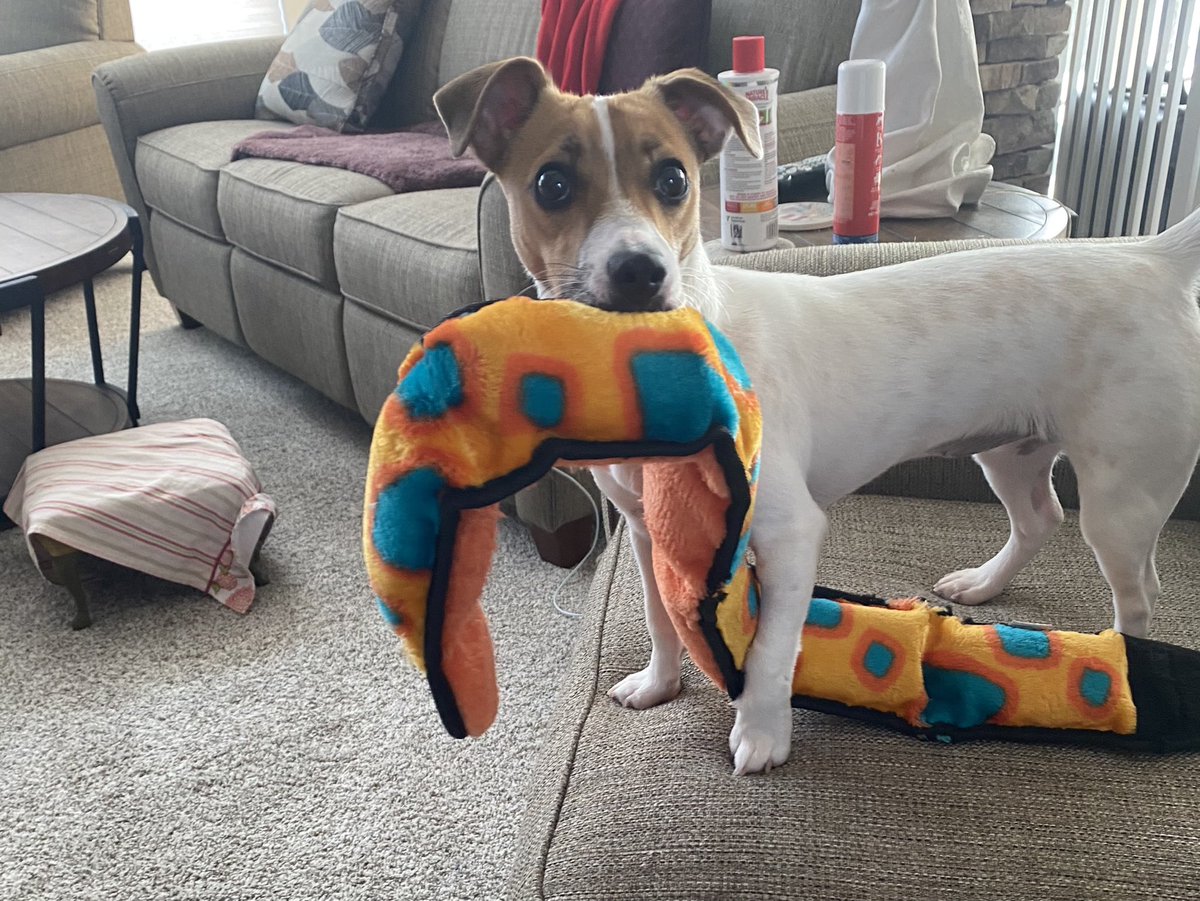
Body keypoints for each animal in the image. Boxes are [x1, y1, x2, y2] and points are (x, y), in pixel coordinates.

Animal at [432, 56, 1200, 777]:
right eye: (552, 185)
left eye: (675, 180)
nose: (640, 271)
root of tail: (1150, 257)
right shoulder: (649, 534)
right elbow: (660, 618)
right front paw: (659, 683)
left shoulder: (790, 530)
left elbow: (772, 648)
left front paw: (763, 732)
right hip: (1010, 453)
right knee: (1040, 517)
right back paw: (984, 584)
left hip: (1122, 500)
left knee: (1138, 592)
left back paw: (1126, 667)